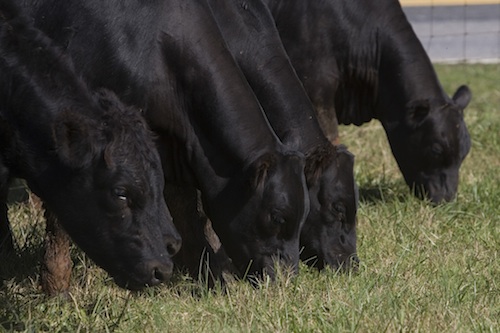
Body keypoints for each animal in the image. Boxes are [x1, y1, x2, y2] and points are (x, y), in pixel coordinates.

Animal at [21, 0, 310, 278]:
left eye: (303, 218)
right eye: (277, 217)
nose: (287, 278)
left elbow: (184, 206)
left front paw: (210, 273)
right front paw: (57, 282)